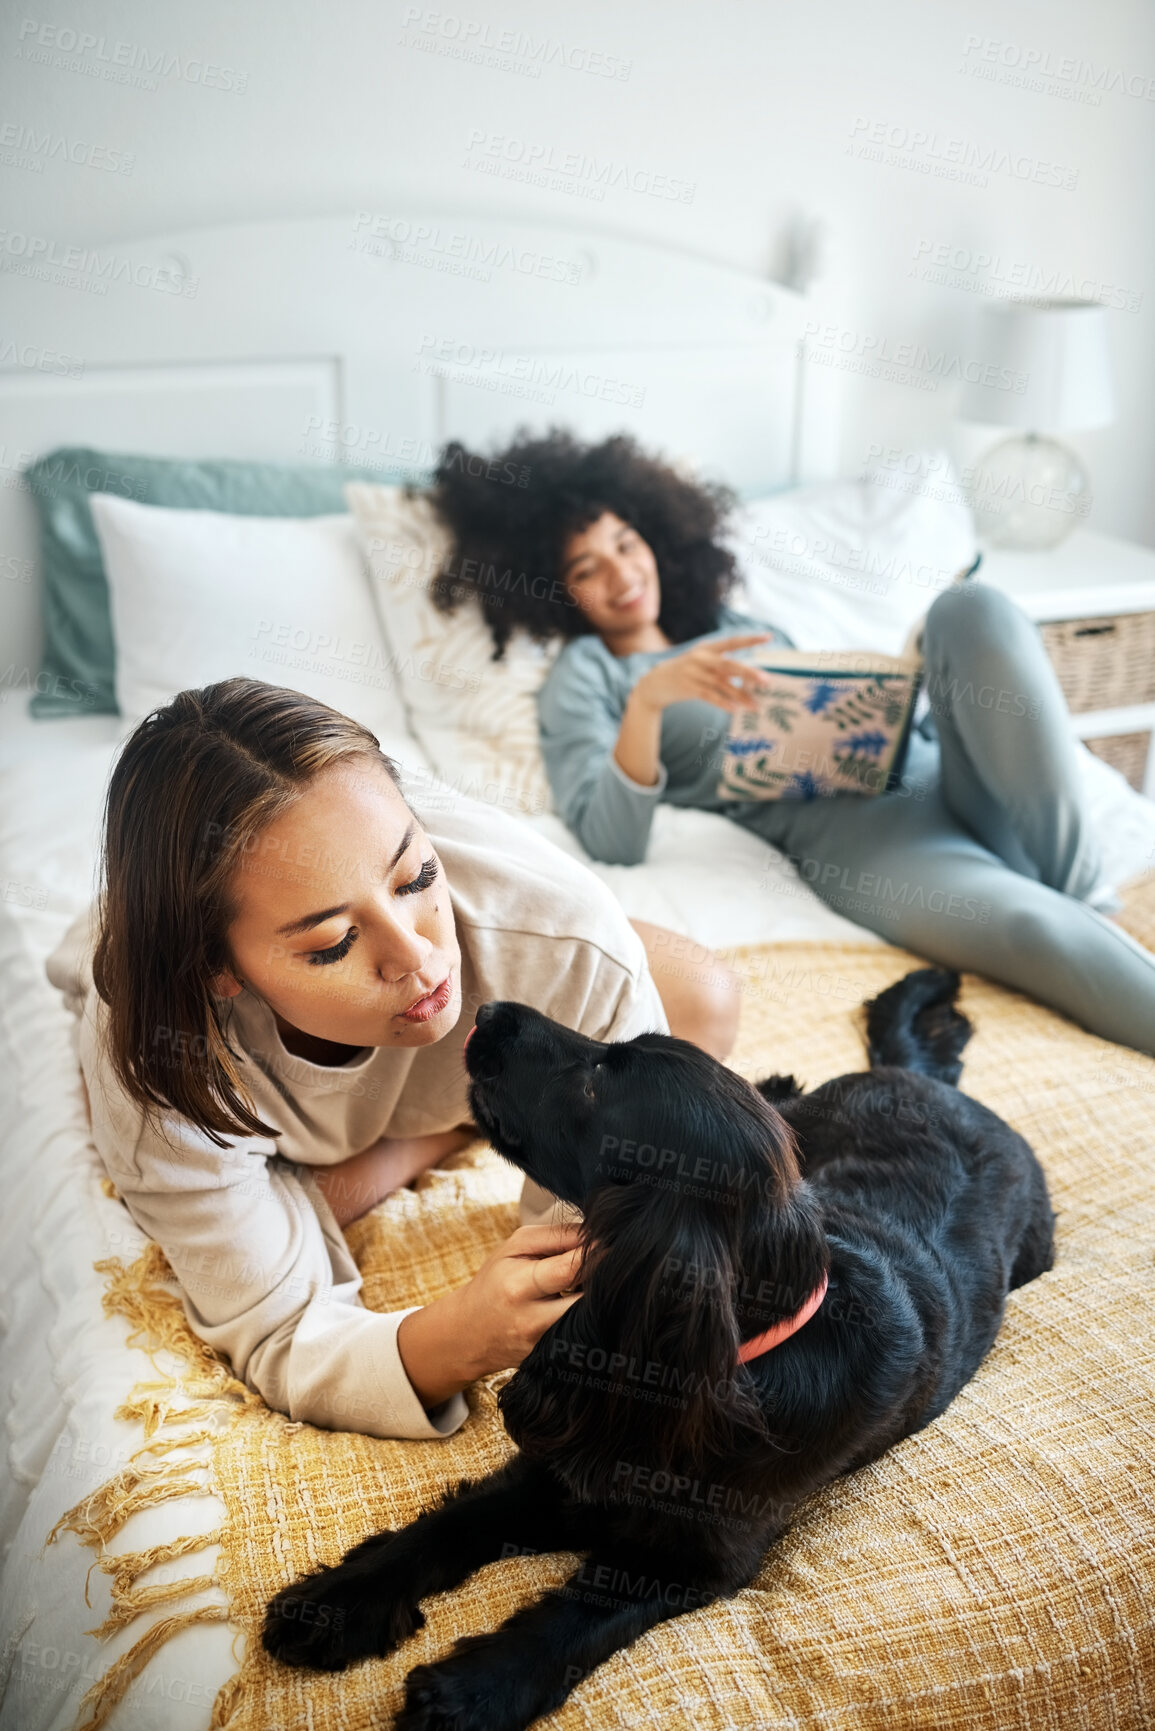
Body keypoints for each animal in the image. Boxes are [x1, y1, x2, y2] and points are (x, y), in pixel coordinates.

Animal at [264, 969, 1059, 1724]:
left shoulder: (693, 1560)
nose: (486, 1012)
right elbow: (446, 1526)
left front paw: (471, 1690)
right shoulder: (556, 1469)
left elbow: (578, 1615)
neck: (719, 1373)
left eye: (596, 1081)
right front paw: (333, 1603)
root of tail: (931, 1084)